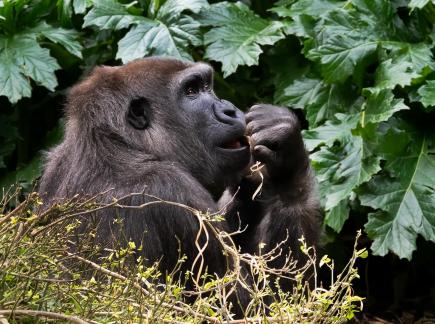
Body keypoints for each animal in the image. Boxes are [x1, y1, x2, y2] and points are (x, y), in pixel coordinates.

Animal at [38, 57, 320, 308]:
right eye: (191, 91)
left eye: (206, 86)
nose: (229, 110)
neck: (116, 144)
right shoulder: (174, 193)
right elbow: (273, 308)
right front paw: (288, 165)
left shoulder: (55, 161)